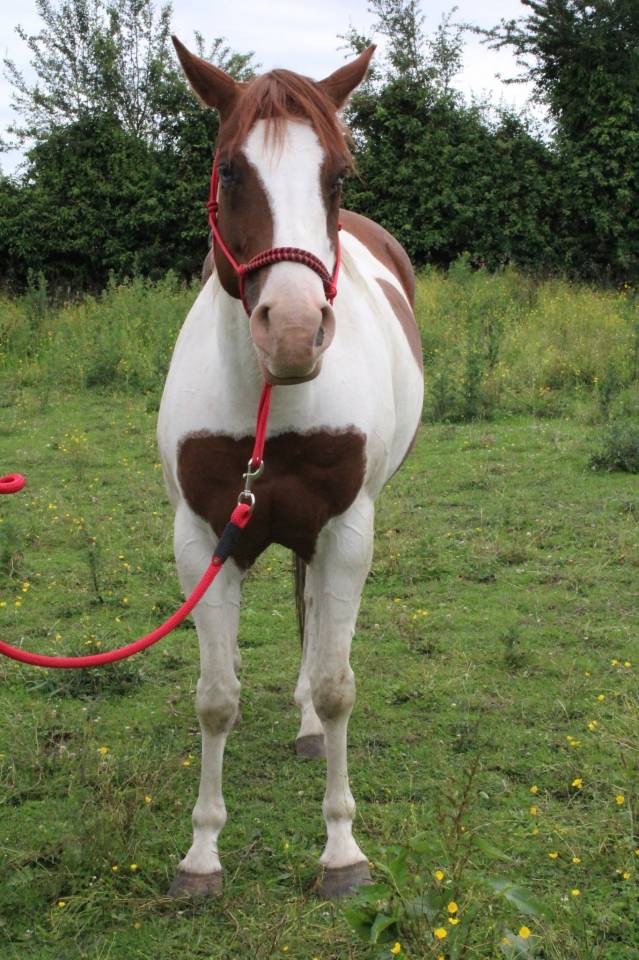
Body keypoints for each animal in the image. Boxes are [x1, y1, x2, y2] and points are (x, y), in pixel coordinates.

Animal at [157, 36, 424, 899]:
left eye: (337, 175)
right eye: (230, 169)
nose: (296, 332)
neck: (268, 401)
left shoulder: (346, 528)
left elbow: (338, 686)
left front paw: (341, 850)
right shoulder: (203, 535)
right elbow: (214, 698)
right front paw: (201, 853)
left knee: (313, 616)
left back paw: (307, 724)